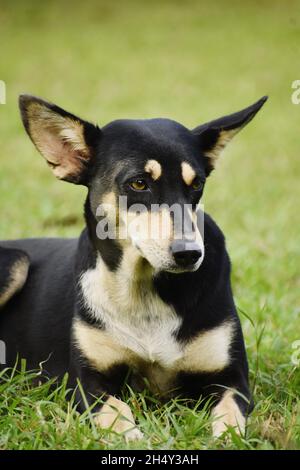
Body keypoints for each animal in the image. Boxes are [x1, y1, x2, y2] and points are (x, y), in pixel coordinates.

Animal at [0, 94, 268, 440]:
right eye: (139, 183)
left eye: (197, 184)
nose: (190, 254)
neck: (143, 289)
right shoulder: (87, 383)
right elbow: (118, 411)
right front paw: (132, 437)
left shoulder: (232, 380)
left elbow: (229, 417)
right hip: (16, 262)